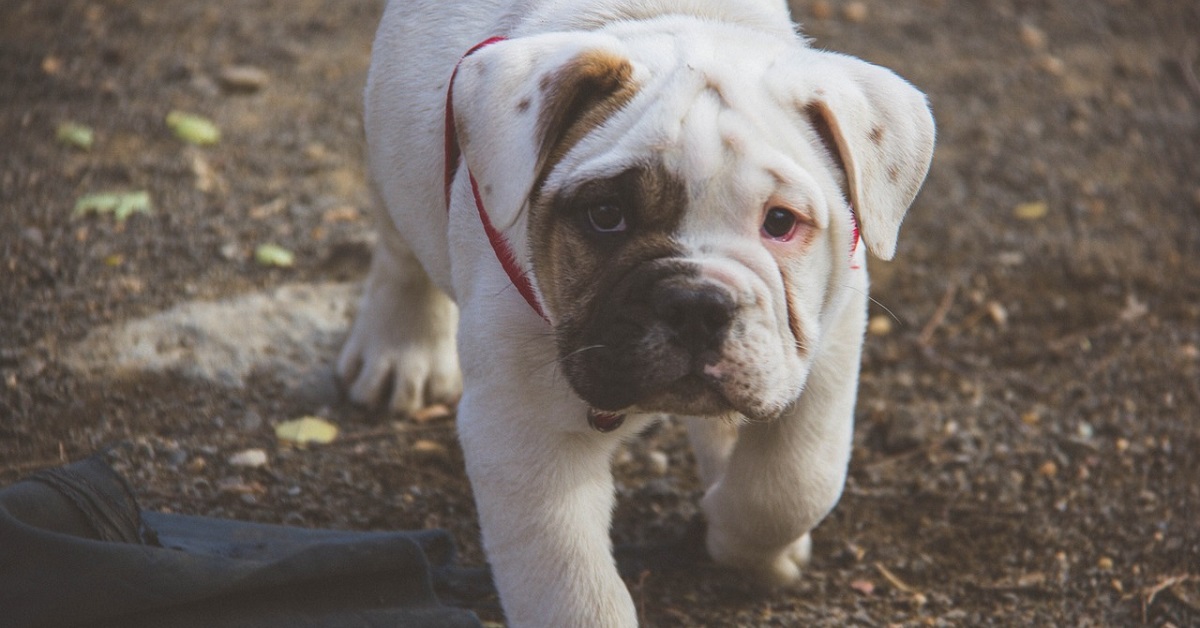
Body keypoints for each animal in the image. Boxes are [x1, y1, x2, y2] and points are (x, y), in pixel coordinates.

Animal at [338, 0, 936, 624]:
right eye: (606, 215)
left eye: (780, 222)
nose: (697, 302)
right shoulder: (525, 437)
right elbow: (572, 591)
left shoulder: (828, 339)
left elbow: (795, 481)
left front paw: (746, 544)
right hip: (392, 161)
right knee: (401, 257)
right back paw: (399, 352)